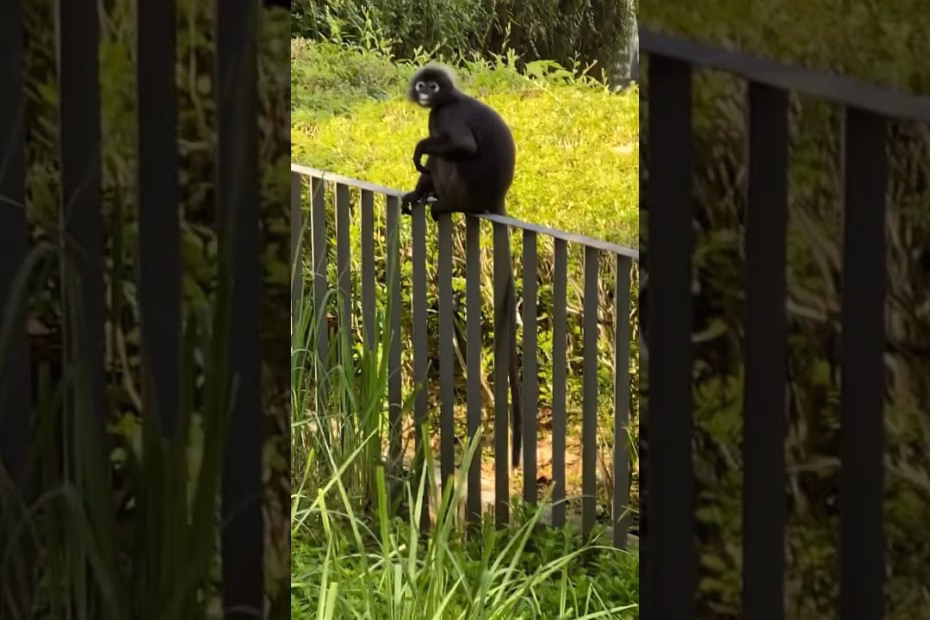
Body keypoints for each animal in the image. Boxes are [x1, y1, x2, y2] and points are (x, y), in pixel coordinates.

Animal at [400, 65, 523, 468]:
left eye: (432, 86)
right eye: (422, 84)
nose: (425, 92)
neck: (447, 99)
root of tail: (494, 200)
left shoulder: (443, 115)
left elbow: (462, 147)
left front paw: (421, 149)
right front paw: (415, 190)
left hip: (465, 192)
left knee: (444, 160)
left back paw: (441, 203)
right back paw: (422, 195)